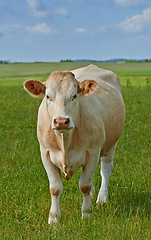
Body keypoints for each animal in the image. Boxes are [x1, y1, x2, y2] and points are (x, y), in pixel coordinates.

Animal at [23, 63, 125, 223]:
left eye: (74, 96)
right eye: (48, 96)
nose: (61, 121)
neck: (65, 141)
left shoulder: (93, 152)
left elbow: (84, 185)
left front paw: (86, 213)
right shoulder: (45, 154)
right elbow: (55, 188)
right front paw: (54, 218)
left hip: (111, 144)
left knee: (106, 169)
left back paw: (102, 198)